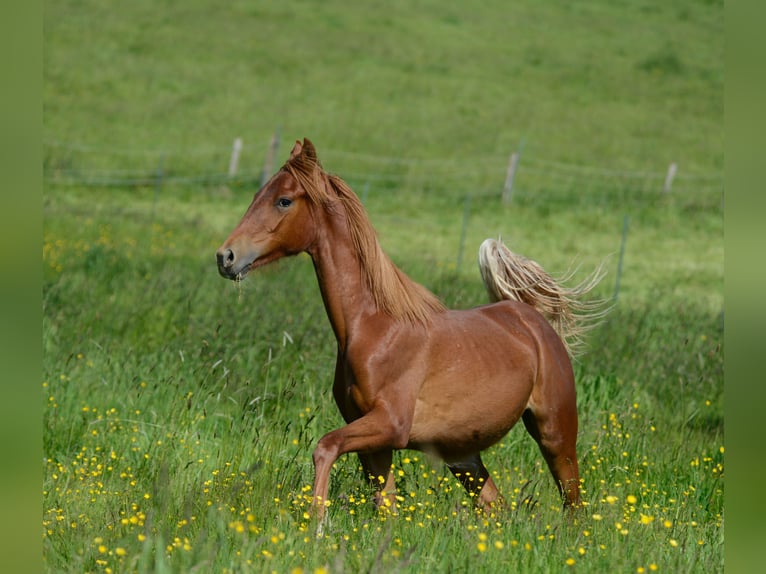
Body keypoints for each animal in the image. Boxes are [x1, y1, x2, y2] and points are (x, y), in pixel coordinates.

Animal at [214, 137, 608, 524]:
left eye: (284, 200)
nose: (225, 257)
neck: (373, 329)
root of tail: (531, 318)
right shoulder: (375, 442)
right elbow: (384, 505)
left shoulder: (390, 425)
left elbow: (325, 447)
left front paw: (317, 523)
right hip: (464, 456)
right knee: (497, 507)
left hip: (555, 434)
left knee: (573, 505)